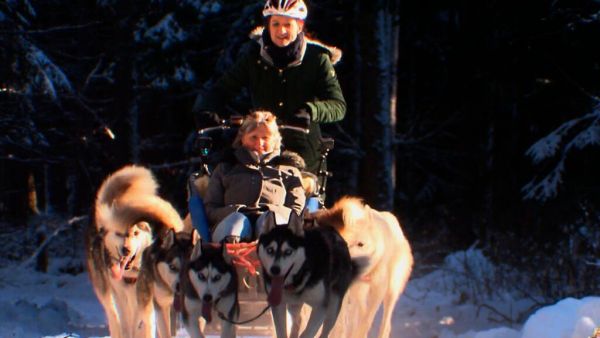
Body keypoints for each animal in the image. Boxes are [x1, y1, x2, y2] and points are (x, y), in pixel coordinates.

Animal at [83, 164, 184, 338]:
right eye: (119, 233)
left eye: (135, 233)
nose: (126, 249)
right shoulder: (122, 294)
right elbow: (126, 322)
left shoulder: (140, 296)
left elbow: (139, 322)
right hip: (105, 290)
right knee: (113, 314)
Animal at [314, 197, 412, 338]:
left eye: (361, 244)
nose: (349, 266)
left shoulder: (378, 289)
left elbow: (366, 319)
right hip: (359, 294)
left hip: (391, 291)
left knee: (385, 322)